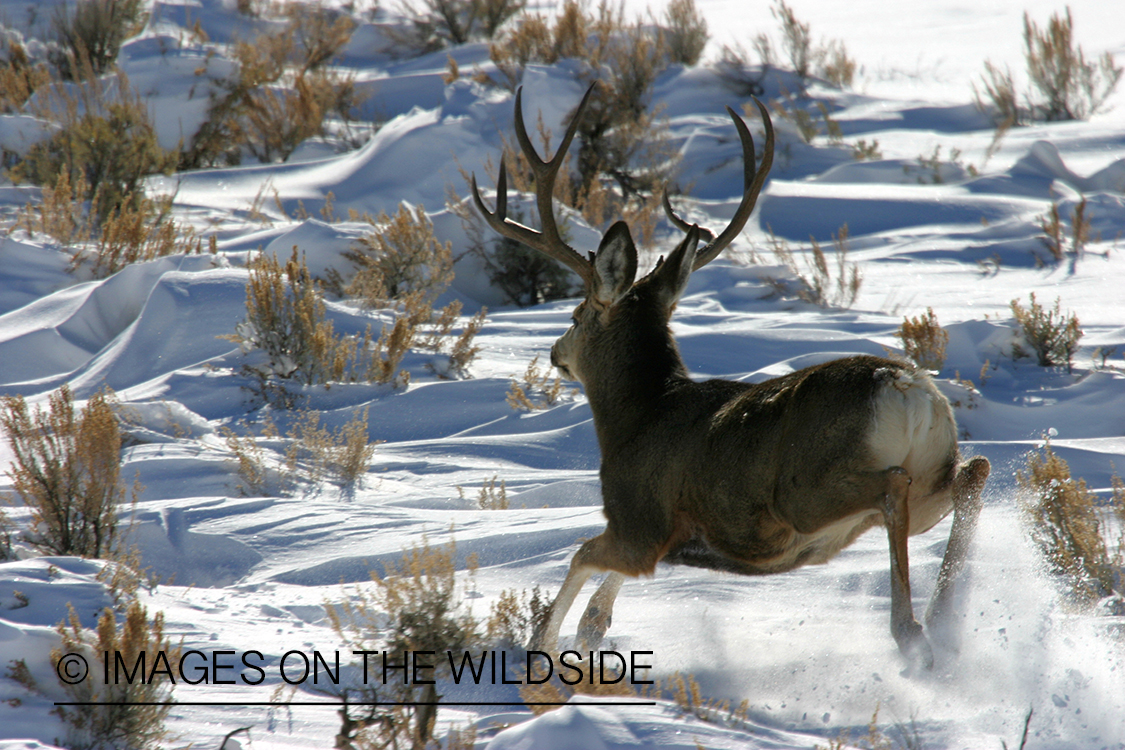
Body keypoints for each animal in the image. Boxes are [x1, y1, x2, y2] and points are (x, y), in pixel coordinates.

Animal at [471, 84, 990, 669]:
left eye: (576, 315)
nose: (556, 352)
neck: (636, 416)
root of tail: (904, 388)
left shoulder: (638, 519)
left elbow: (582, 556)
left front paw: (543, 650)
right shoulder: (660, 538)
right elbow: (600, 596)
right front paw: (589, 632)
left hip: (809, 493)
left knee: (893, 485)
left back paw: (913, 633)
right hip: (928, 479)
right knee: (973, 473)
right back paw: (947, 620)